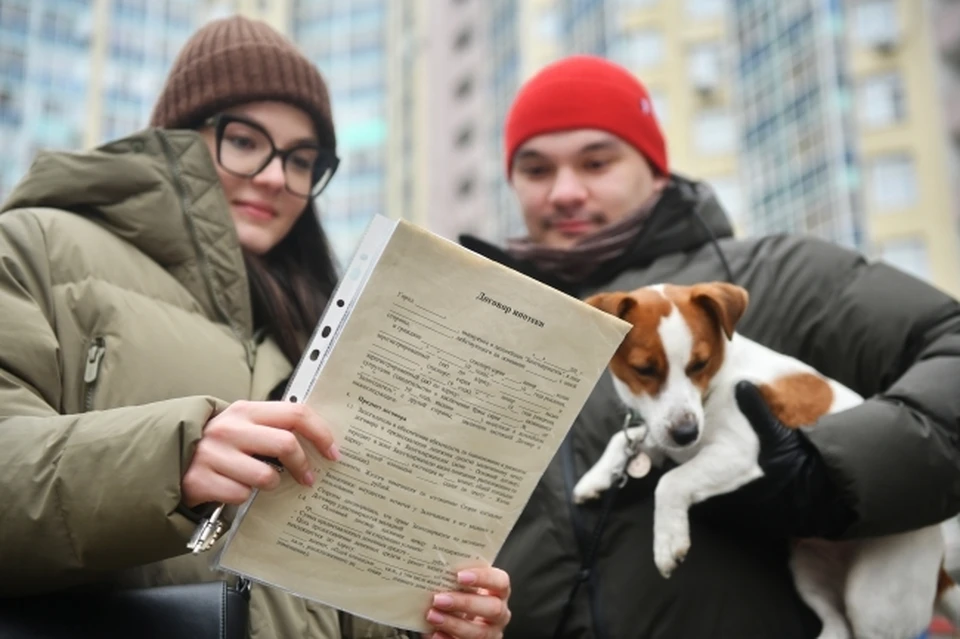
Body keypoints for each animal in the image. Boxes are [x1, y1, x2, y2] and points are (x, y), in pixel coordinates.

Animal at [572, 282, 956, 639]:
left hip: (874, 599)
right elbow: (625, 441)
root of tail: (940, 566)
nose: (687, 433)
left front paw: (668, 540)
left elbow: (671, 482)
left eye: (699, 364)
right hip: (807, 568)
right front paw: (595, 478)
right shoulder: (665, 437)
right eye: (644, 369)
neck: (716, 384)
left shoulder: (741, 452)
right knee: (837, 627)